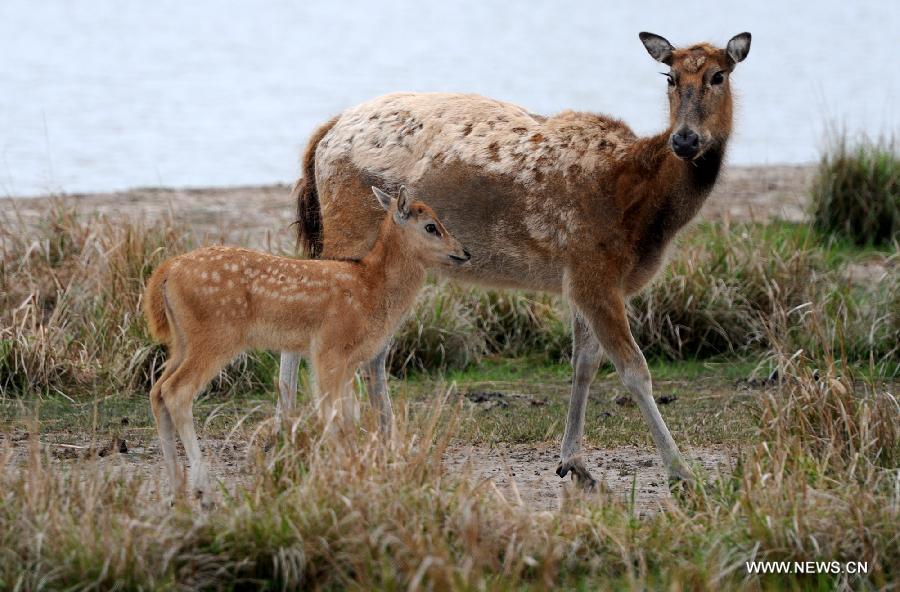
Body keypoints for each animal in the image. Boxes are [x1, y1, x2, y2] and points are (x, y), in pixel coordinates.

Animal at [278, 30, 748, 488]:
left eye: (719, 75)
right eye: (669, 77)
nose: (685, 139)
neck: (645, 215)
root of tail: (323, 135)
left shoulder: (582, 277)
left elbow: (584, 363)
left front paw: (574, 462)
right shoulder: (594, 271)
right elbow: (634, 369)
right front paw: (682, 472)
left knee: (373, 345)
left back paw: (379, 440)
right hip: (347, 229)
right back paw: (294, 433)